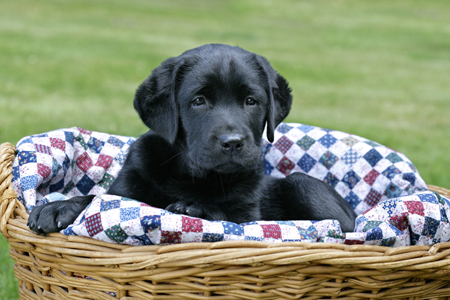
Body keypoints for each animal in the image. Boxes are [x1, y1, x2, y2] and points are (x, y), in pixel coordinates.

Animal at [27, 43, 358, 233]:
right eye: (199, 101)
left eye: (251, 101)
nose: (233, 143)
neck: (193, 176)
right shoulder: (126, 190)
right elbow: (97, 197)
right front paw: (57, 207)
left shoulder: (247, 214)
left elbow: (224, 214)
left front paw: (195, 209)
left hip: (303, 185)